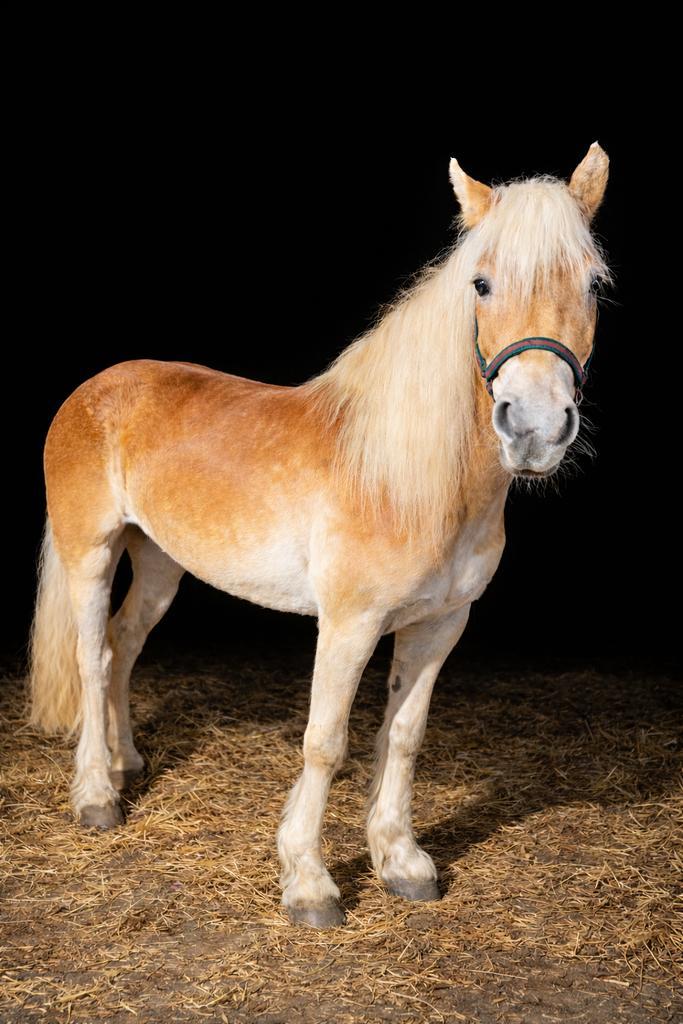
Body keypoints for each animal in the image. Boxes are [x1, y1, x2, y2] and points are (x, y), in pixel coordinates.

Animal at [28, 142, 612, 929]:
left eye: (592, 285)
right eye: (481, 283)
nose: (535, 428)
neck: (406, 478)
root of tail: (94, 387)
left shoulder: (440, 624)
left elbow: (403, 735)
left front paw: (402, 862)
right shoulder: (347, 623)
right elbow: (325, 743)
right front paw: (308, 882)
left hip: (160, 562)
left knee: (123, 646)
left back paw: (127, 766)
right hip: (90, 551)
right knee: (91, 658)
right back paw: (96, 795)